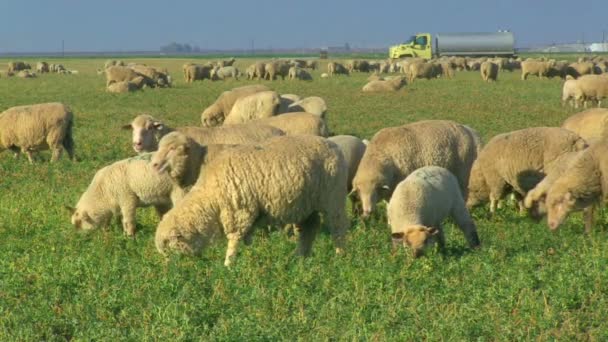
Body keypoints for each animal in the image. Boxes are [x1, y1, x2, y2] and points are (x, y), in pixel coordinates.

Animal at [154, 135, 350, 266]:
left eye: (167, 247)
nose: (169, 269)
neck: (210, 198)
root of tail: (332, 145)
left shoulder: (239, 212)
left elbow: (234, 239)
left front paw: (228, 265)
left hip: (333, 198)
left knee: (338, 228)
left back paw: (340, 257)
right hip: (306, 205)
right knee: (309, 229)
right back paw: (300, 258)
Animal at [352, 120, 480, 216]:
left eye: (374, 191)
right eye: (359, 191)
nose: (368, 211)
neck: (381, 155)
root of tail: (470, 132)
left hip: (464, 170)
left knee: (465, 192)